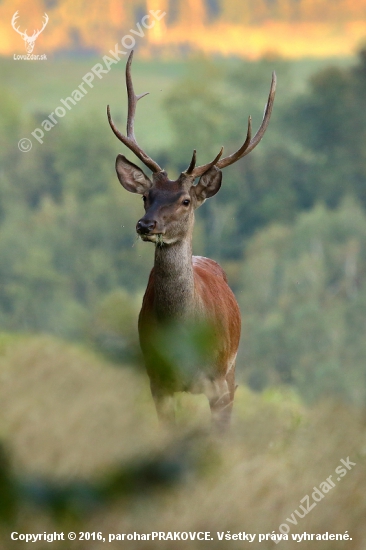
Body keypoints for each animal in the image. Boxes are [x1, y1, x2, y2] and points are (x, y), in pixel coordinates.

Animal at [106, 49, 274, 434]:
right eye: (146, 196)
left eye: (185, 200)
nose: (145, 224)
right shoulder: (158, 382)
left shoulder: (220, 384)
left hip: (232, 370)